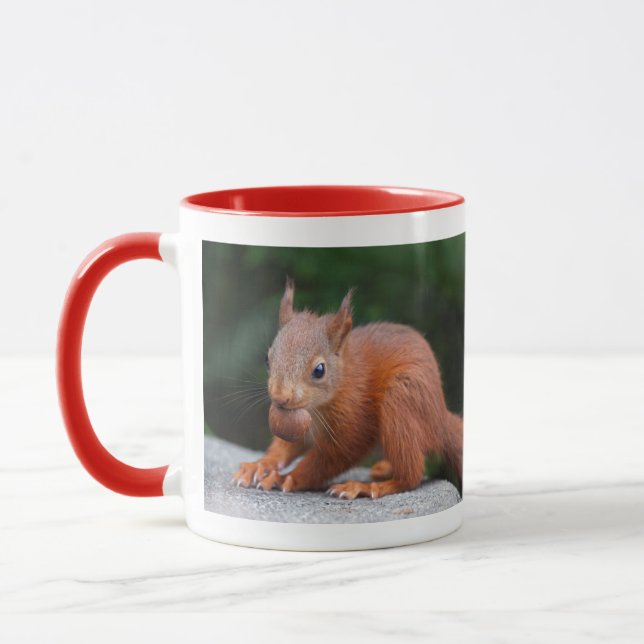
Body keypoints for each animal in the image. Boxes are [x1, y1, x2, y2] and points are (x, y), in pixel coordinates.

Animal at [232, 278, 463, 499]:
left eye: (319, 370)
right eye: (267, 359)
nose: (280, 397)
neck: (316, 407)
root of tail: (440, 419)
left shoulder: (354, 418)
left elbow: (335, 456)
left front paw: (285, 478)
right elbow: (284, 449)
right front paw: (259, 465)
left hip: (402, 401)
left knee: (411, 474)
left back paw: (365, 487)